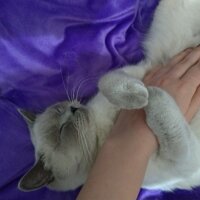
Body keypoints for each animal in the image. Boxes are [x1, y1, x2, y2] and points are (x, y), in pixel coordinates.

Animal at [18, 0, 200, 192]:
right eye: (61, 131)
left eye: (61, 109)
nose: (73, 108)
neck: (101, 130)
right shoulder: (182, 160)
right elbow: (160, 104)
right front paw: (146, 96)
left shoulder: (136, 70)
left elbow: (105, 81)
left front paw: (138, 95)